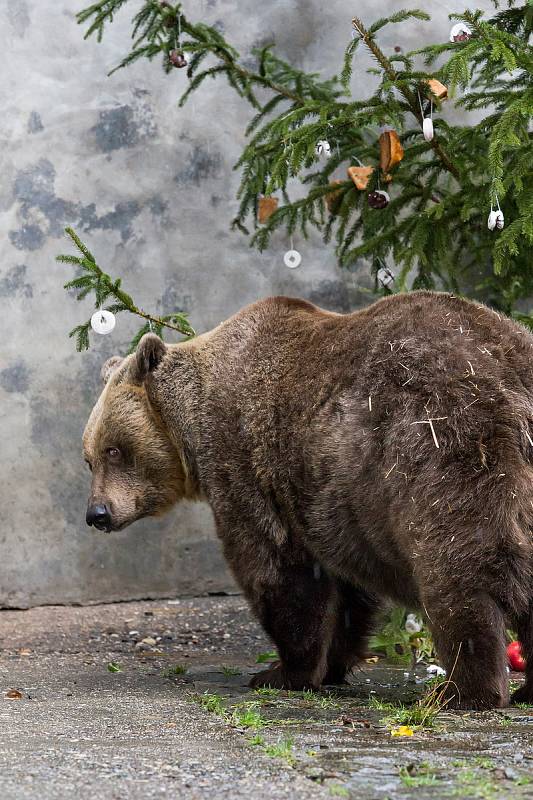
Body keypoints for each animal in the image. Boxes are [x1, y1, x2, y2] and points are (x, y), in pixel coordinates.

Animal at [83, 292, 532, 708]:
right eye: (89, 457)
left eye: (114, 450)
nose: (97, 513)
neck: (192, 429)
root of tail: (509, 373)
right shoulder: (334, 504)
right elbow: (348, 592)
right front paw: (330, 665)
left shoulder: (245, 466)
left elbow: (275, 568)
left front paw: (280, 671)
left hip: (441, 443)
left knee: (457, 569)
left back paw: (464, 692)